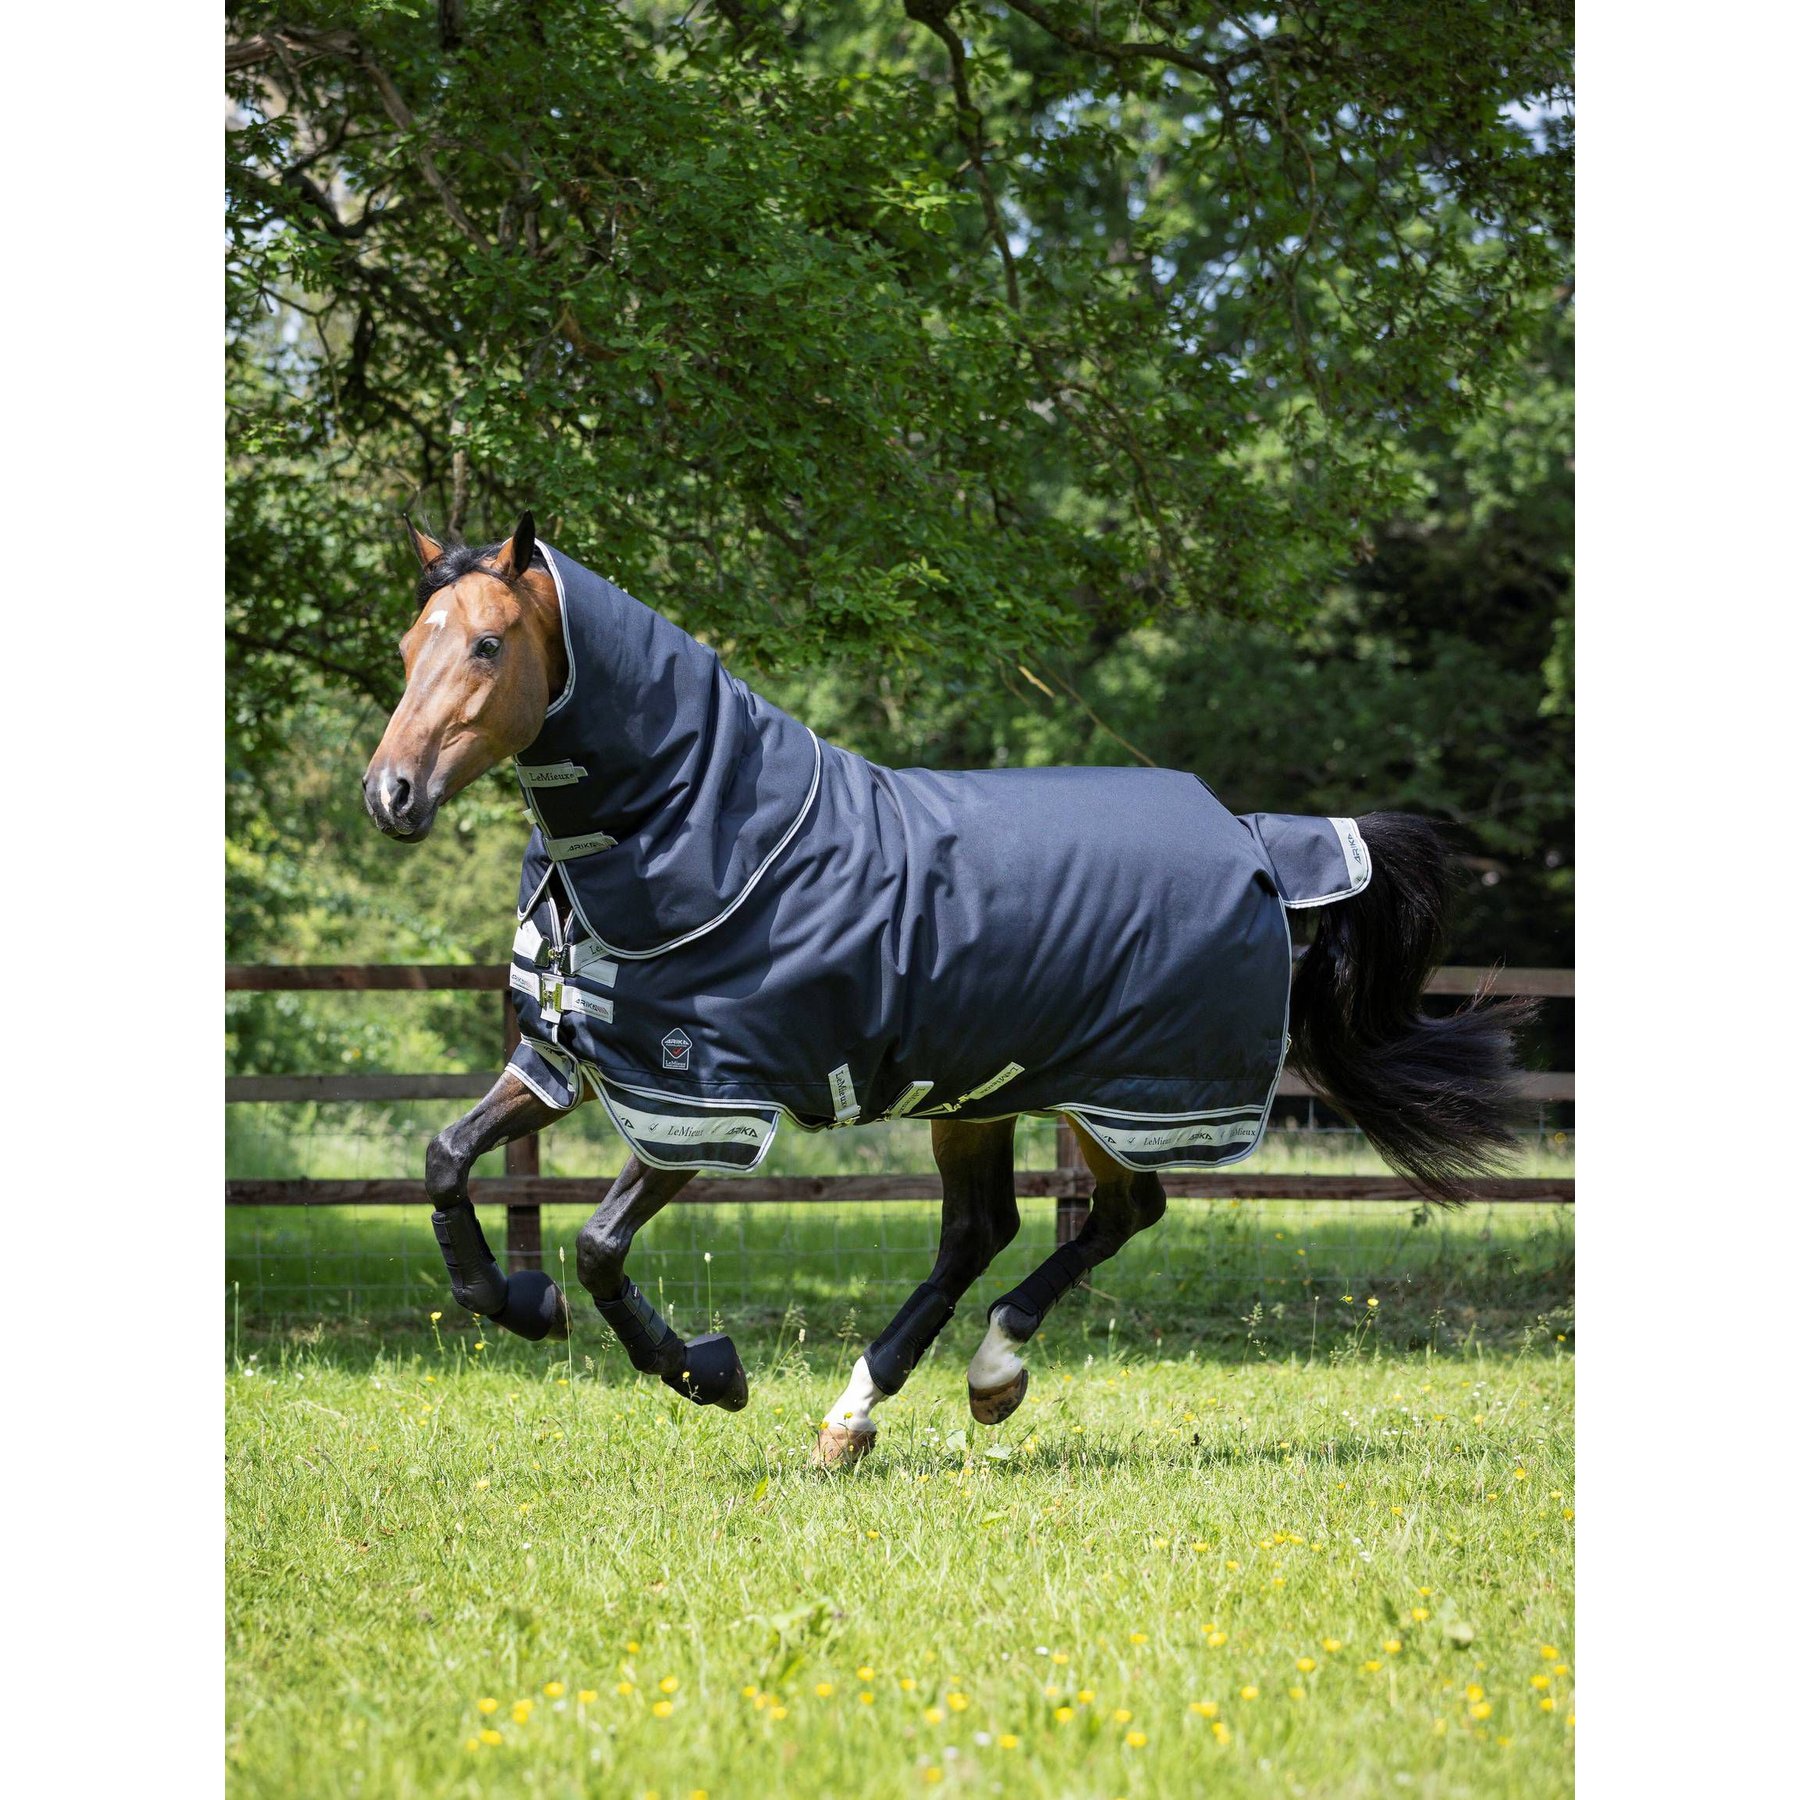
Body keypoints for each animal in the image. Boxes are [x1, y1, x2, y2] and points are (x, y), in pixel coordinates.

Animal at [363, 513, 1529, 1467]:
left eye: (487, 644)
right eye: (410, 646)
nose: (391, 795)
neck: (707, 835)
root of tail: (1255, 837)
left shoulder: (705, 1104)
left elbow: (600, 1246)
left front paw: (708, 1371)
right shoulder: (569, 1060)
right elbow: (445, 1159)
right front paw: (518, 1302)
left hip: (1129, 1093)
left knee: (1115, 1213)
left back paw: (974, 1377)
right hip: (983, 1091)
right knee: (990, 1230)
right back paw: (871, 1415)